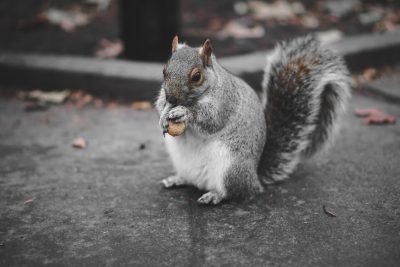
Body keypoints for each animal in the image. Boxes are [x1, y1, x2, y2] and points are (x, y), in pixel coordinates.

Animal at [155, 35, 350, 205]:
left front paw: (184, 113)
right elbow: (159, 105)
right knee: (191, 180)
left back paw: (215, 195)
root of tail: (255, 177)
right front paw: (164, 114)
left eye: (196, 77)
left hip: (231, 168)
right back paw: (176, 179)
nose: (172, 98)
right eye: (164, 71)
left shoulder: (225, 101)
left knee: (237, 192)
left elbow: (212, 120)